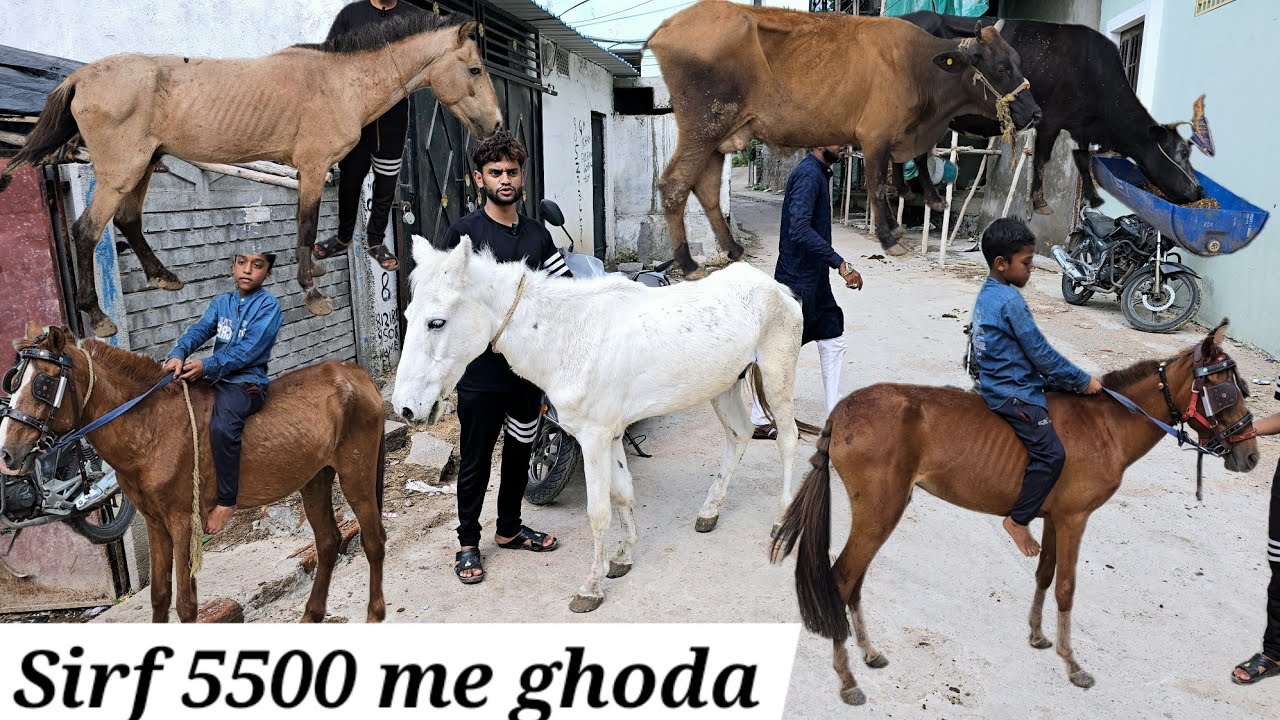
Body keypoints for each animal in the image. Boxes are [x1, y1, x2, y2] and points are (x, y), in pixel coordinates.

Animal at [0, 12, 501, 338]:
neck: (340, 83)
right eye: (475, 69)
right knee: (87, 231)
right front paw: (312, 292)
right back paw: (99, 316)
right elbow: (305, 226)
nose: (496, 126)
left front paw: (314, 269)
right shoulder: (313, 167)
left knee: (127, 221)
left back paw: (164, 277)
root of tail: (80, 77)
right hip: (121, 172)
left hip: (142, 166)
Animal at [0, 323, 388, 623]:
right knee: (328, 543)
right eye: (14, 382)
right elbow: (159, 596)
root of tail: (356, 375)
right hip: (315, 478)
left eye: (44, 384)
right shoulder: (156, 523)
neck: (152, 427)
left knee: (373, 541)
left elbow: (186, 605)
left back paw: (374, 613)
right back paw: (312, 614)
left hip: (356, 473)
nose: (7, 453)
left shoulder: (182, 520)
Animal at [392, 235, 805, 613]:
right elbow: (622, 494)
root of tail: (777, 289)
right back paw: (709, 511)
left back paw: (781, 520)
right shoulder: (612, 434)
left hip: (776, 376)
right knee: (739, 436)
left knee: (788, 440)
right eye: (409, 317)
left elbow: (599, 511)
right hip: (724, 386)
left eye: (436, 323)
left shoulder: (593, 437)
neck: (567, 337)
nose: (405, 408)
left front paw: (590, 588)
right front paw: (622, 558)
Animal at [771, 321, 1260, 705]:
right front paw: (1072, 663)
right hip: (879, 511)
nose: (1251, 456)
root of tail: (843, 411)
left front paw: (1039, 636)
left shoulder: (1053, 517)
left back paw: (868, 654)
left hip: (883, 511)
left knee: (854, 580)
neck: (1105, 424)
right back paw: (847, 678)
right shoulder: (1074, 519)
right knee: (842, 578)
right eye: (1222, 390)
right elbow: (1066, 588)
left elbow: (1044, 574)